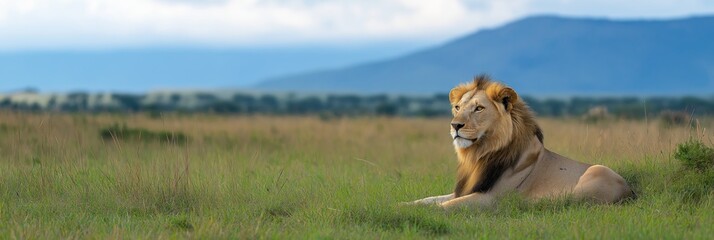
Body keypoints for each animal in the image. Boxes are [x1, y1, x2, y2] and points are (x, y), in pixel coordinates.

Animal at [406, 76, 636, 209]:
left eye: (479, 108)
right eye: (457, 107)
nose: (455, 125)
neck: (479, 155)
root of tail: (630, 190)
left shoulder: (489, 198)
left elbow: (442, 207)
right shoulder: (467, 189)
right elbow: (428, 199)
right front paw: (402, 204)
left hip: (597, 172)